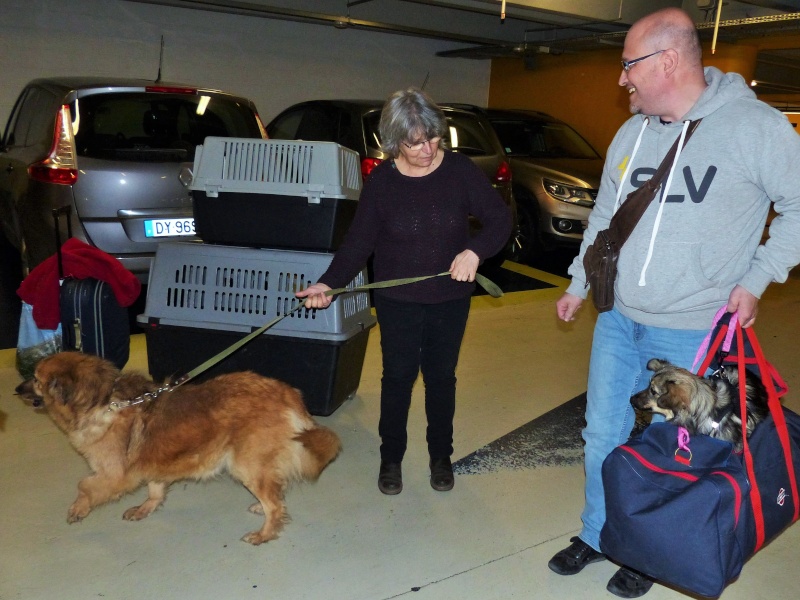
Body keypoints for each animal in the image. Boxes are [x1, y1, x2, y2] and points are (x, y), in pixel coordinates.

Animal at [14, 352, 340, 544]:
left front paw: (78, 509)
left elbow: (84, 486)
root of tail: (287, 394)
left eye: (36, 379)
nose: (16, 390)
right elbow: (155, 490)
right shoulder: (152, 464)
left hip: (246, 464)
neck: (103, 402)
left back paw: (264, 534)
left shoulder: (114, 474)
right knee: (276, 493)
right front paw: (145, 509)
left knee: (276, 504)